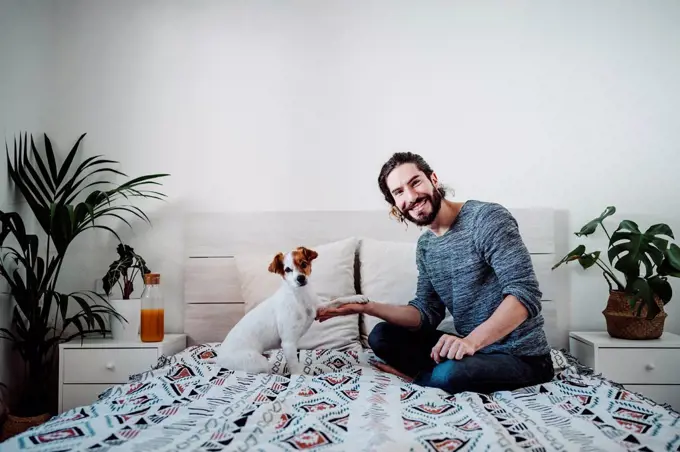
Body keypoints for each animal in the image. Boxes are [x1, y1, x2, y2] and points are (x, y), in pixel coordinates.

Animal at [216, 245, 366, 376]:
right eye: (287, 269)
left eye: (304, 263)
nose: (301, 278)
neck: (300, 296)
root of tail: (219, 358)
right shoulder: (288, 343)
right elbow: (296, 370)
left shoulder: (318, 308)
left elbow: (338, 300)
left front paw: (357, 297)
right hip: (258, 362)